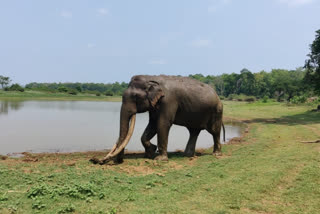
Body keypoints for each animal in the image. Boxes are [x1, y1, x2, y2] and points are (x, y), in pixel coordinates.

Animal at [91, 74, 224, 165]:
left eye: (135, 97)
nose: (95, 160)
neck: (151, 78)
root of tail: (217, 95)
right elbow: (152, 124)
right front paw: (150, 152)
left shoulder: (168, 101)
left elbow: (162, 124)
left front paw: (160, 159)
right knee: (193, 131)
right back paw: (187, 155)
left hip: (216, 111)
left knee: (214, 131)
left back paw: (216, 154)